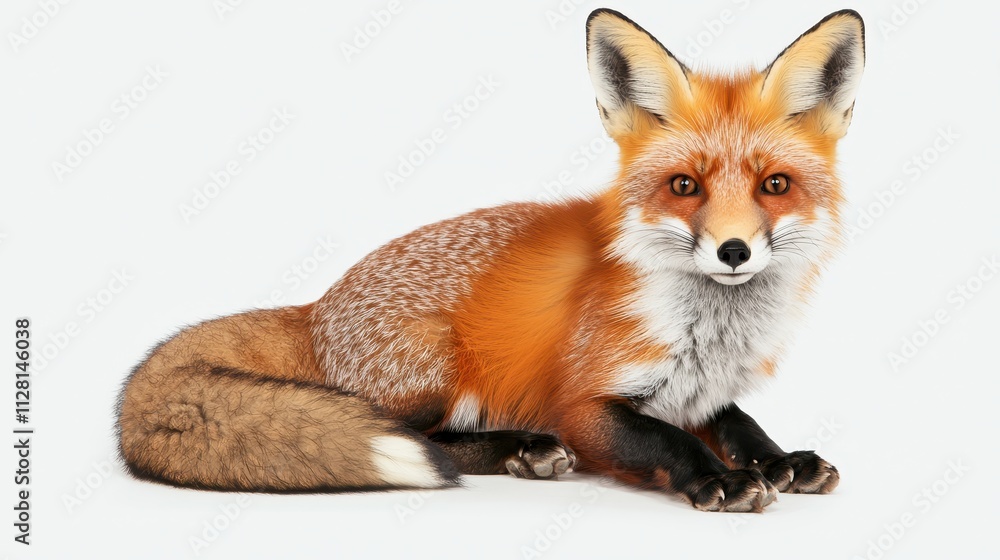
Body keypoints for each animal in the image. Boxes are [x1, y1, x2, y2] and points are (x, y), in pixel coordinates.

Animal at [117, 8, 864, 512]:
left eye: (775, 185)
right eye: (685, 187)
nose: (734, 251)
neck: (711, 330)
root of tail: (315, 309)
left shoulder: (699, 391)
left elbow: (739, 422)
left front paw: (781, 461)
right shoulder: (584, 401)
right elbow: (664, 441)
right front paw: (720, 477)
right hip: (439, 368)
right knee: (426, 438)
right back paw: (520, 450)